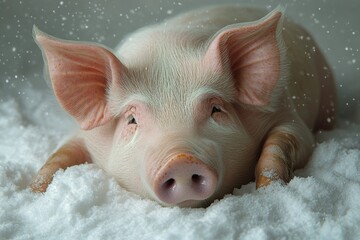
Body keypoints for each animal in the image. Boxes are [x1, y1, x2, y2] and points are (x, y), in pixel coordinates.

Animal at [31, 5, 338, 208]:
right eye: (132, 120)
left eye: (215, 109)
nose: (179, 159)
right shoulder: (86, 135)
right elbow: (60, 156)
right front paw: (33, 192)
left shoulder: (286, 115)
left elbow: (283, 143)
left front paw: (269, 189)